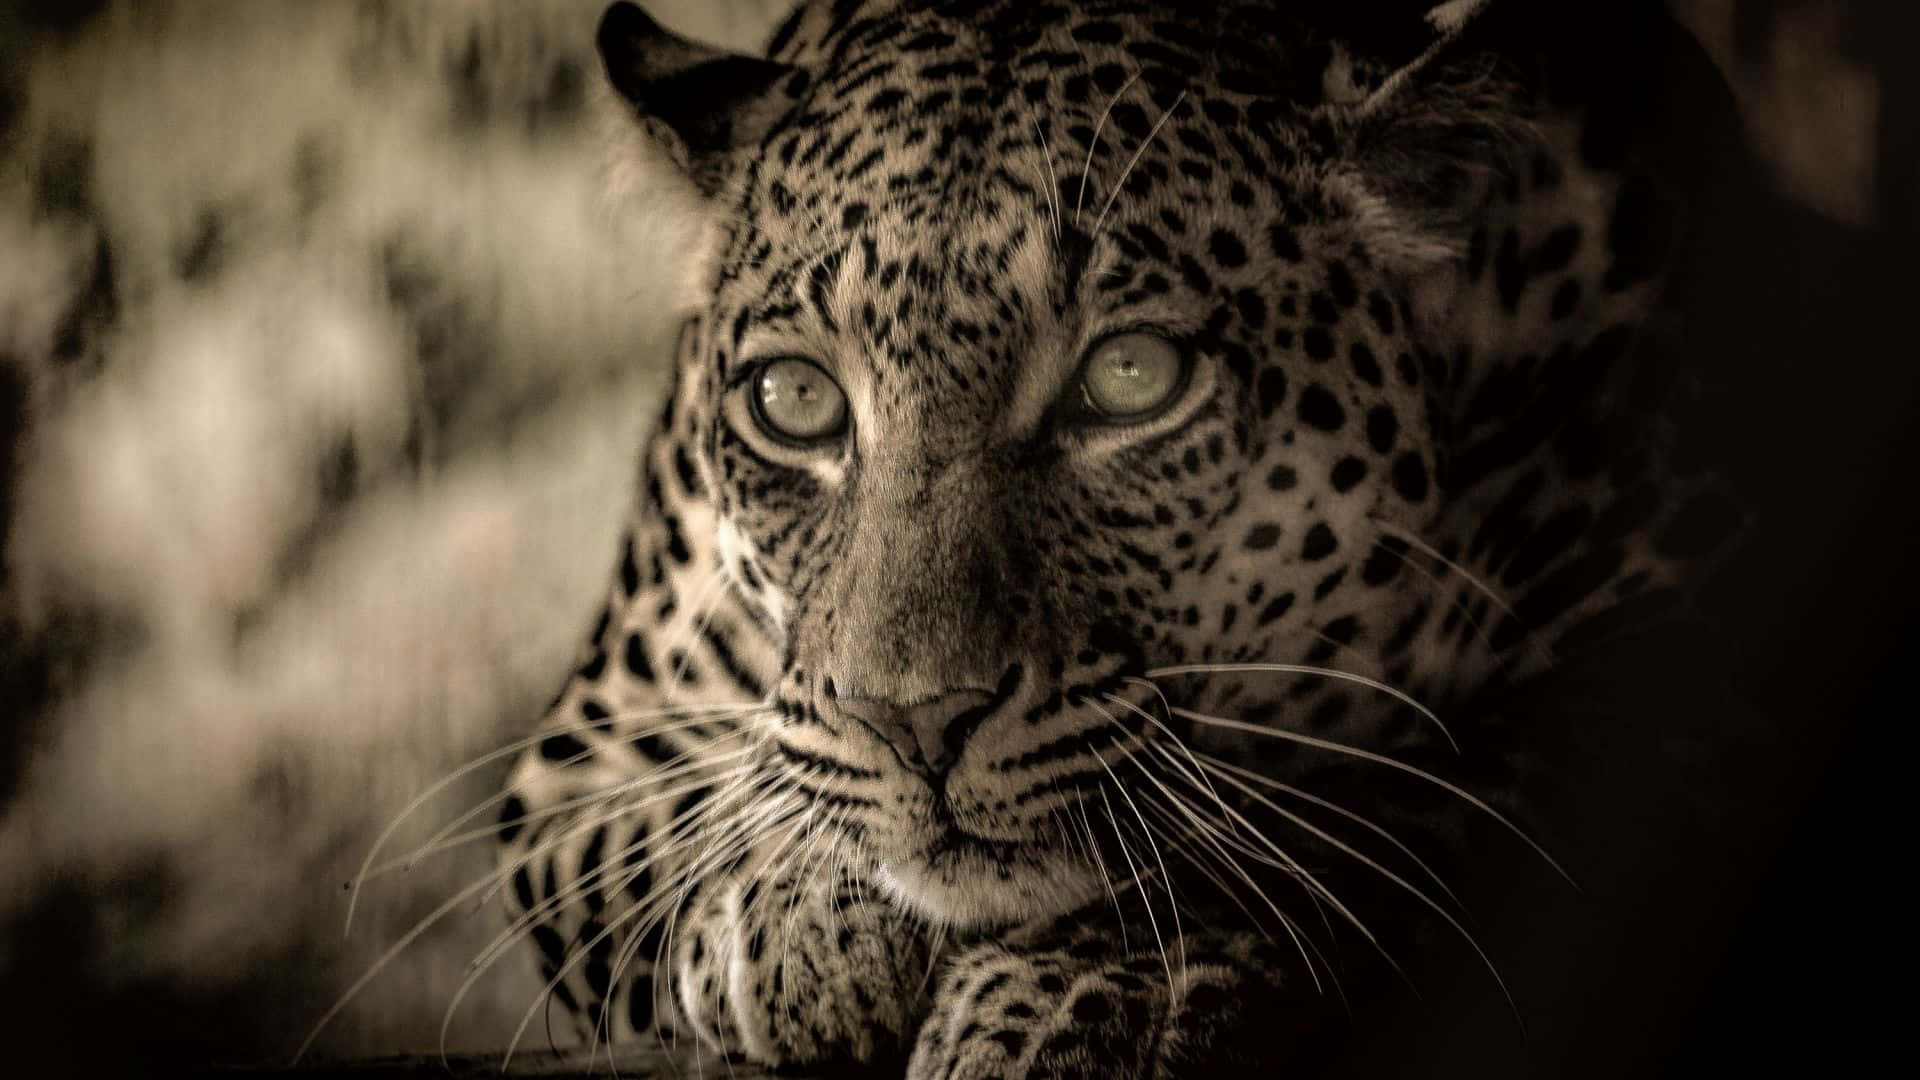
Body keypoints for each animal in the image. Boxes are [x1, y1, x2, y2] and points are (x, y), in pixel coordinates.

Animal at [495, 0, 1750, 1075]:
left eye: (1130, 379)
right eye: (794, 398)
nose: (917, 722)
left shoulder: (1664, 660)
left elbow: (1363, 809)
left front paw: (1087, 992)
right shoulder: (593, 744)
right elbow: (685, 820)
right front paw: (797, 912)